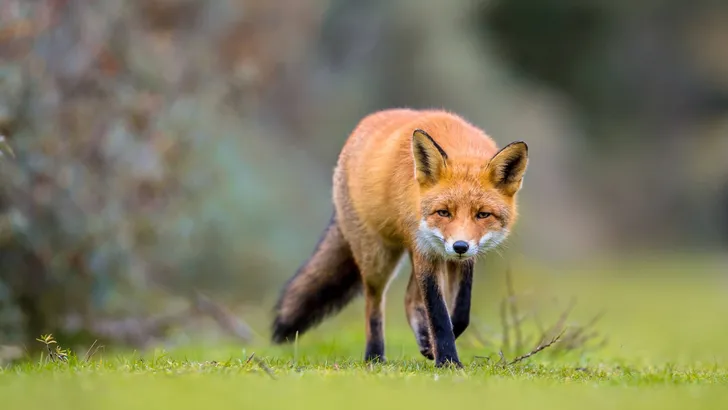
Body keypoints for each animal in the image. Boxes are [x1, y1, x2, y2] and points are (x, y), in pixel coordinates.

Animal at [270, 108, 528, 367]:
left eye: (482, 214)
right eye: (443, 212)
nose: (460, 246)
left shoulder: (460, 259)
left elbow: (461, 312)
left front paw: (435, 347)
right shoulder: (426, 250)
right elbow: (438, 315)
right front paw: (447, 360)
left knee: (409, 299)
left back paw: (422, 341)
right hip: (378, 258)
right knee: (374, 303)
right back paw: (374, 356)